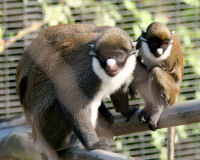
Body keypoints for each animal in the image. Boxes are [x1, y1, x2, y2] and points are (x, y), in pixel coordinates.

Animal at [16, 23, 138, 152]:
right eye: (104, 57)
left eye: (118, 56)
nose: (110, 65)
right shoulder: (88, 71)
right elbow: (73, 99)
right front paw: (92, 144)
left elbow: (119, 91)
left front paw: (127, 111)